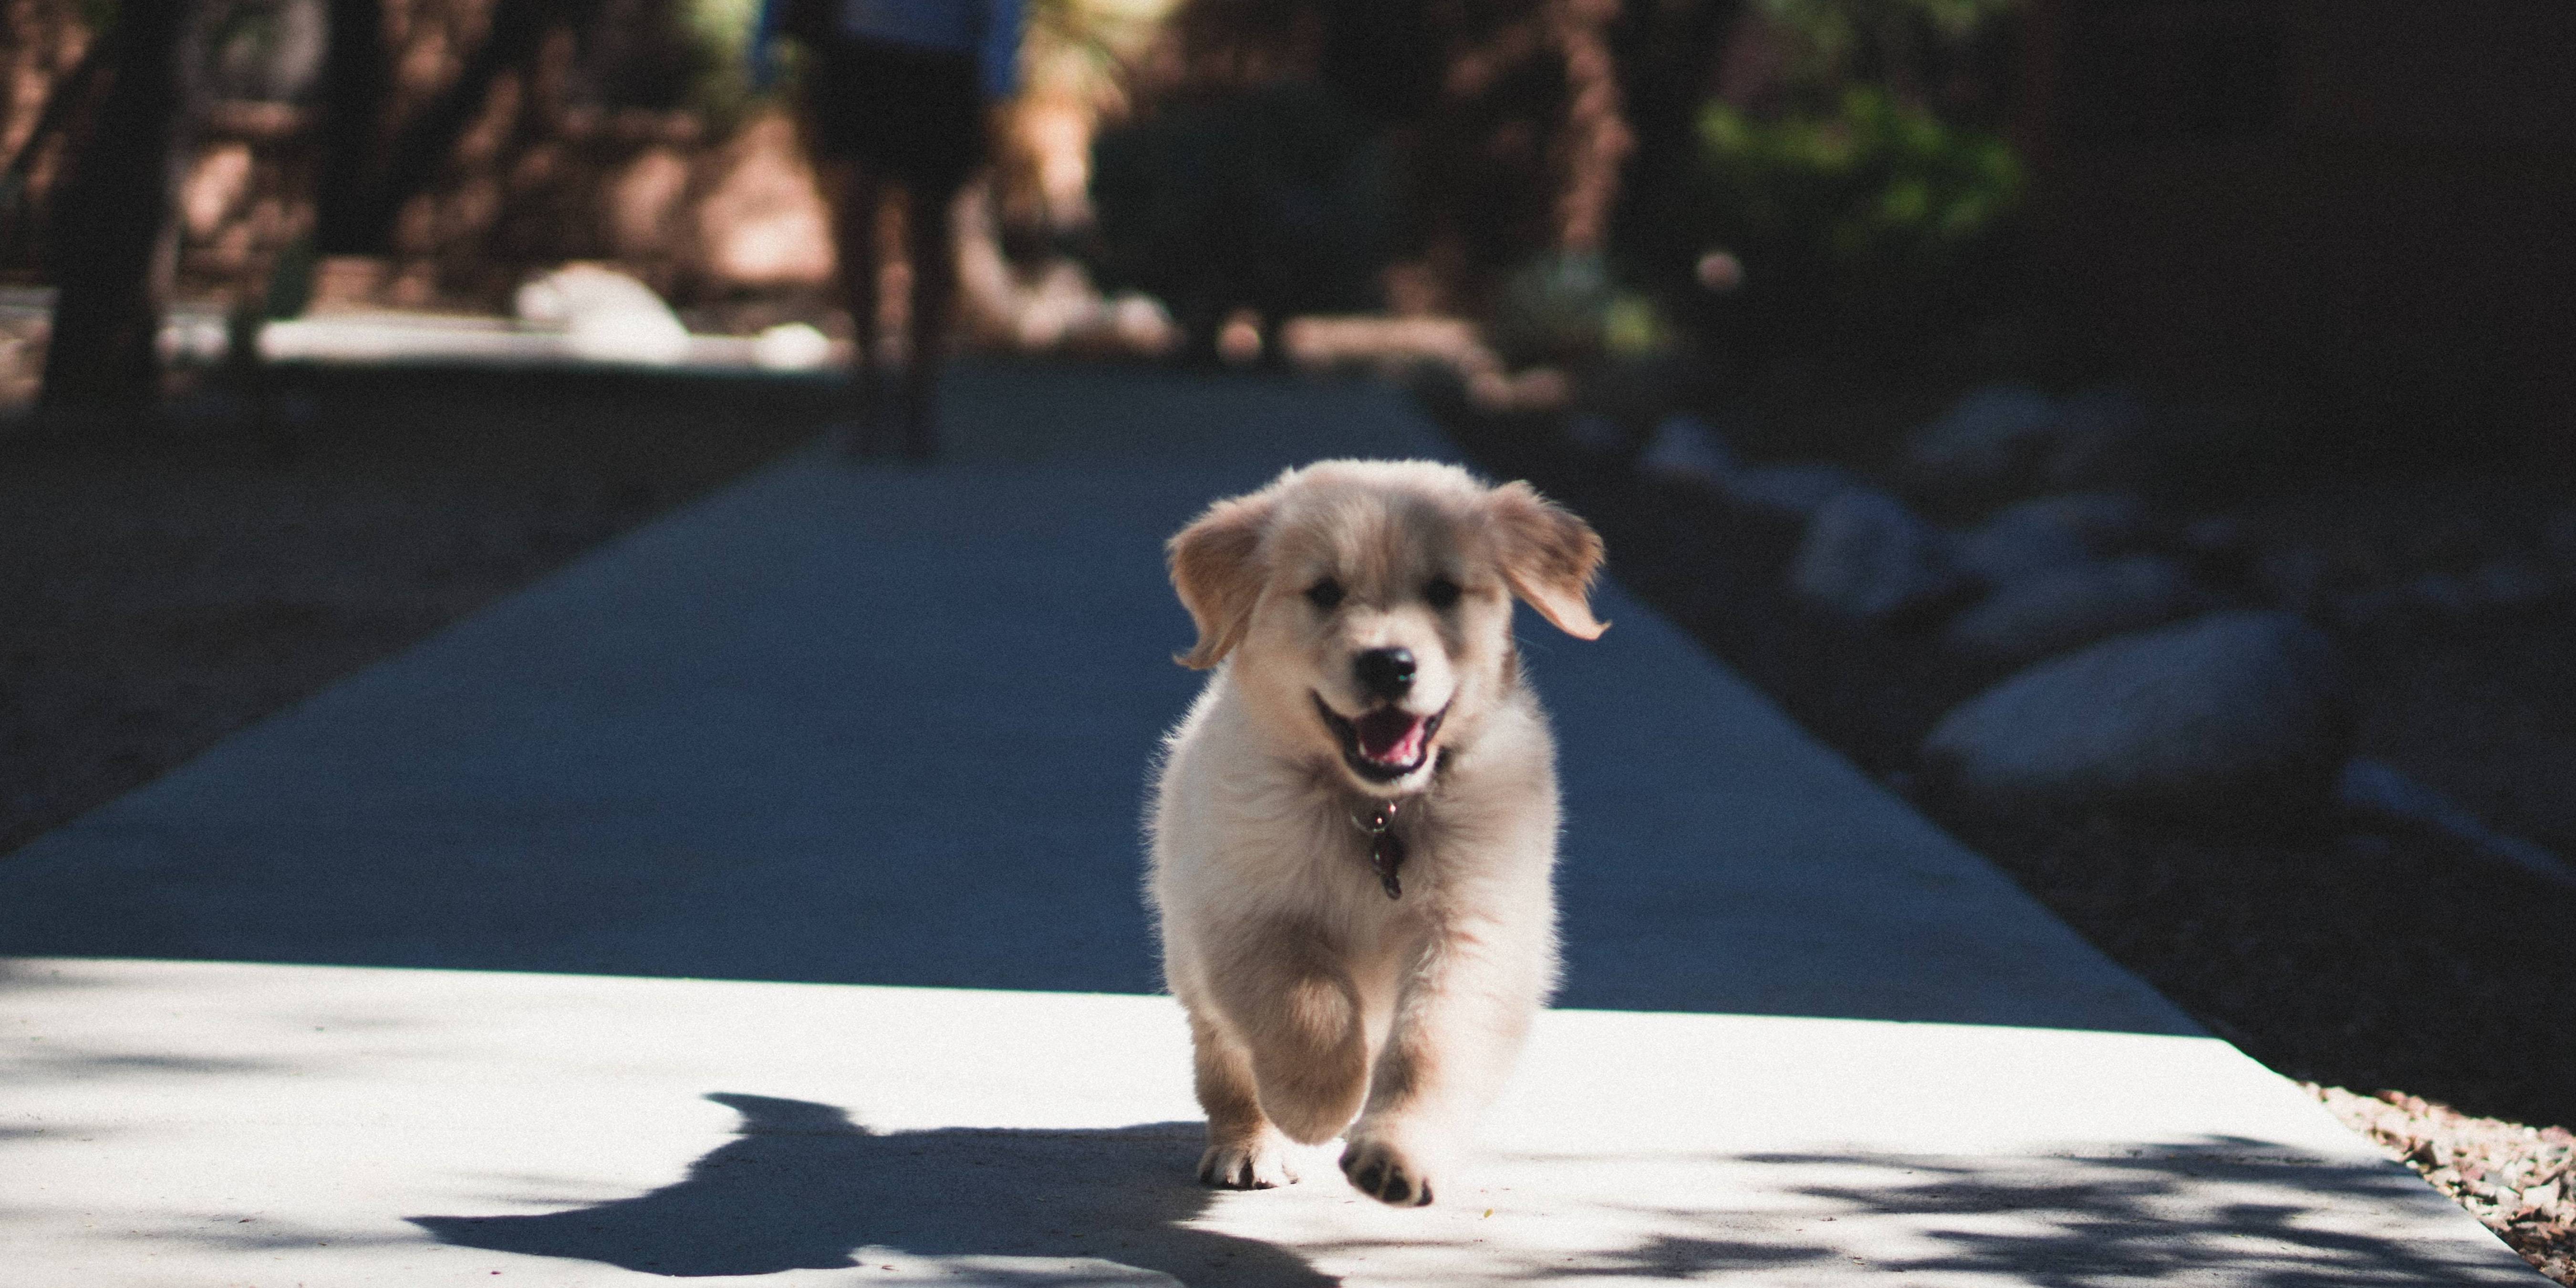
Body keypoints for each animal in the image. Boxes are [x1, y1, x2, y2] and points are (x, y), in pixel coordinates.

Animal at [1143, 458, 1597, 1200]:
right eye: (1325, 593)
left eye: (1443, 591)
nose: (1389, 663)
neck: (1376, 810)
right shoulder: (1246, 913)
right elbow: (1307, 1005)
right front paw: (1317, 1103)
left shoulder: (1476, 925)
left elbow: (1431, 1046)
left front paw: (1396, 1154)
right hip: (1188, 951)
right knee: (1225, 1062)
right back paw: (1250, 1144)